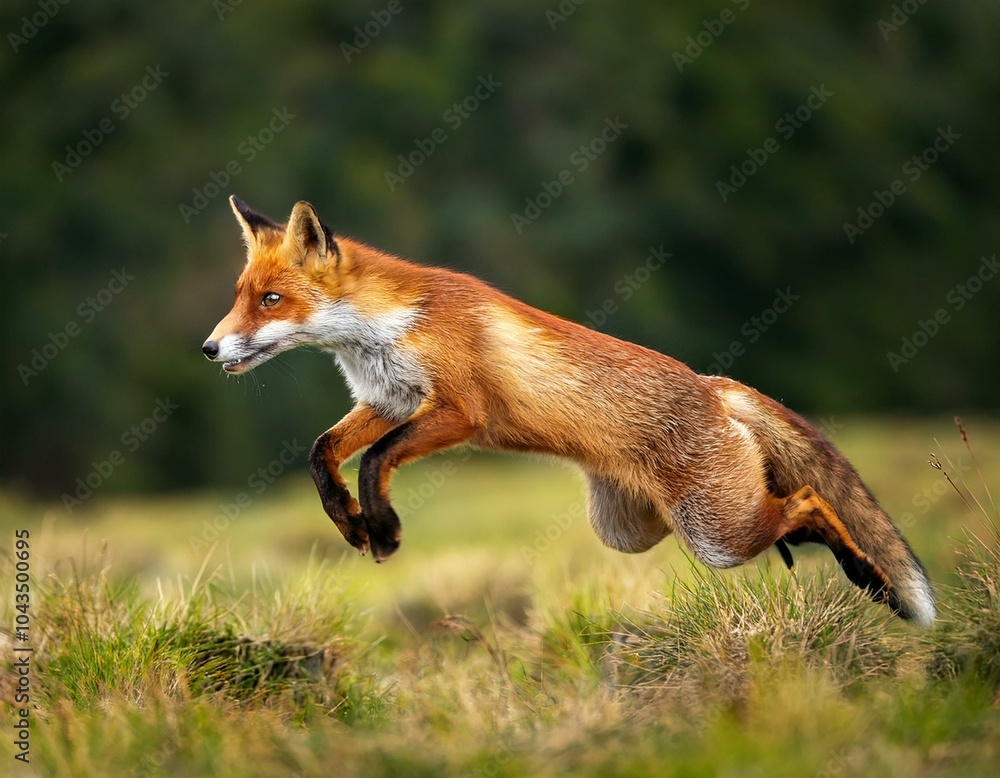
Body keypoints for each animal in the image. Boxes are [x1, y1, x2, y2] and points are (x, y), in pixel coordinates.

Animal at [203, 195, 936, 627]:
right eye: (242, 296)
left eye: (270, 301)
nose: (209, 348)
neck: (386, 329)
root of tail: (713, 383)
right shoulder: (389, 400)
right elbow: (324, 454)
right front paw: (352, 523)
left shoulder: (460, 410)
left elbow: (374, 461)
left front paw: (381, 528)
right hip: (633, 529)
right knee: (788, 508)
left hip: (712, 535)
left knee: (810, 498)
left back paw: (867, 576)